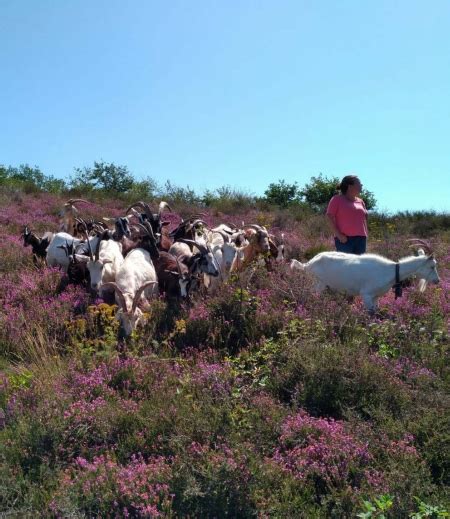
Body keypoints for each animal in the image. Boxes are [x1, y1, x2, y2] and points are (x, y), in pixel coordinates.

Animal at [290, 240, 442, 312]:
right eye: (432, 266)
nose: (437, 281)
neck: (390, 270)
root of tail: (308, 264)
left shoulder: (375, 297)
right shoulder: (366, 295)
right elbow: (370, 314)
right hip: (319, 283)